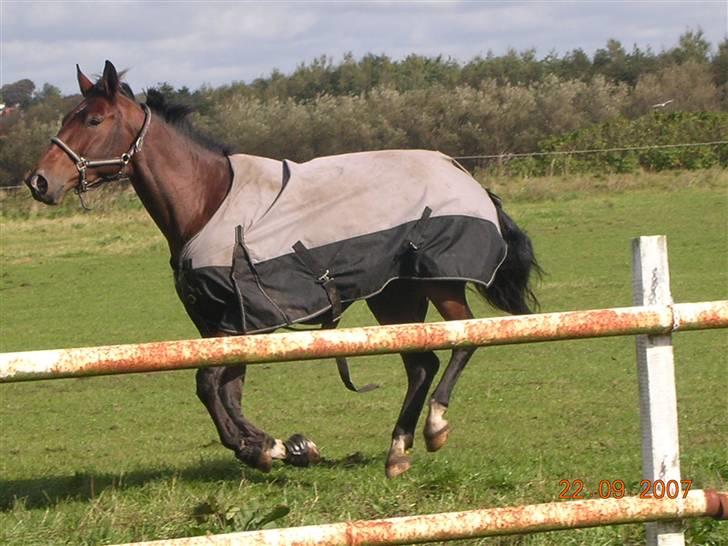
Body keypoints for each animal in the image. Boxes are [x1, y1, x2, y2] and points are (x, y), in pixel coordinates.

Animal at [25, 60, 540, 476]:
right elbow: (225, 391)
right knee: (422, 362)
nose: (39, 181)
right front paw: (277, 448)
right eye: (67, 117)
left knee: (464, 338)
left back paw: (434, 426)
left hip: (439, 283)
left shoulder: (237, 322)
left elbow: (208, 385)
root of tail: (463, 174)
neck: (209, 202)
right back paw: (398, 451)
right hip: (394, 295)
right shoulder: (222, 325)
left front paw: (271, 447)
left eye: (93, 119)